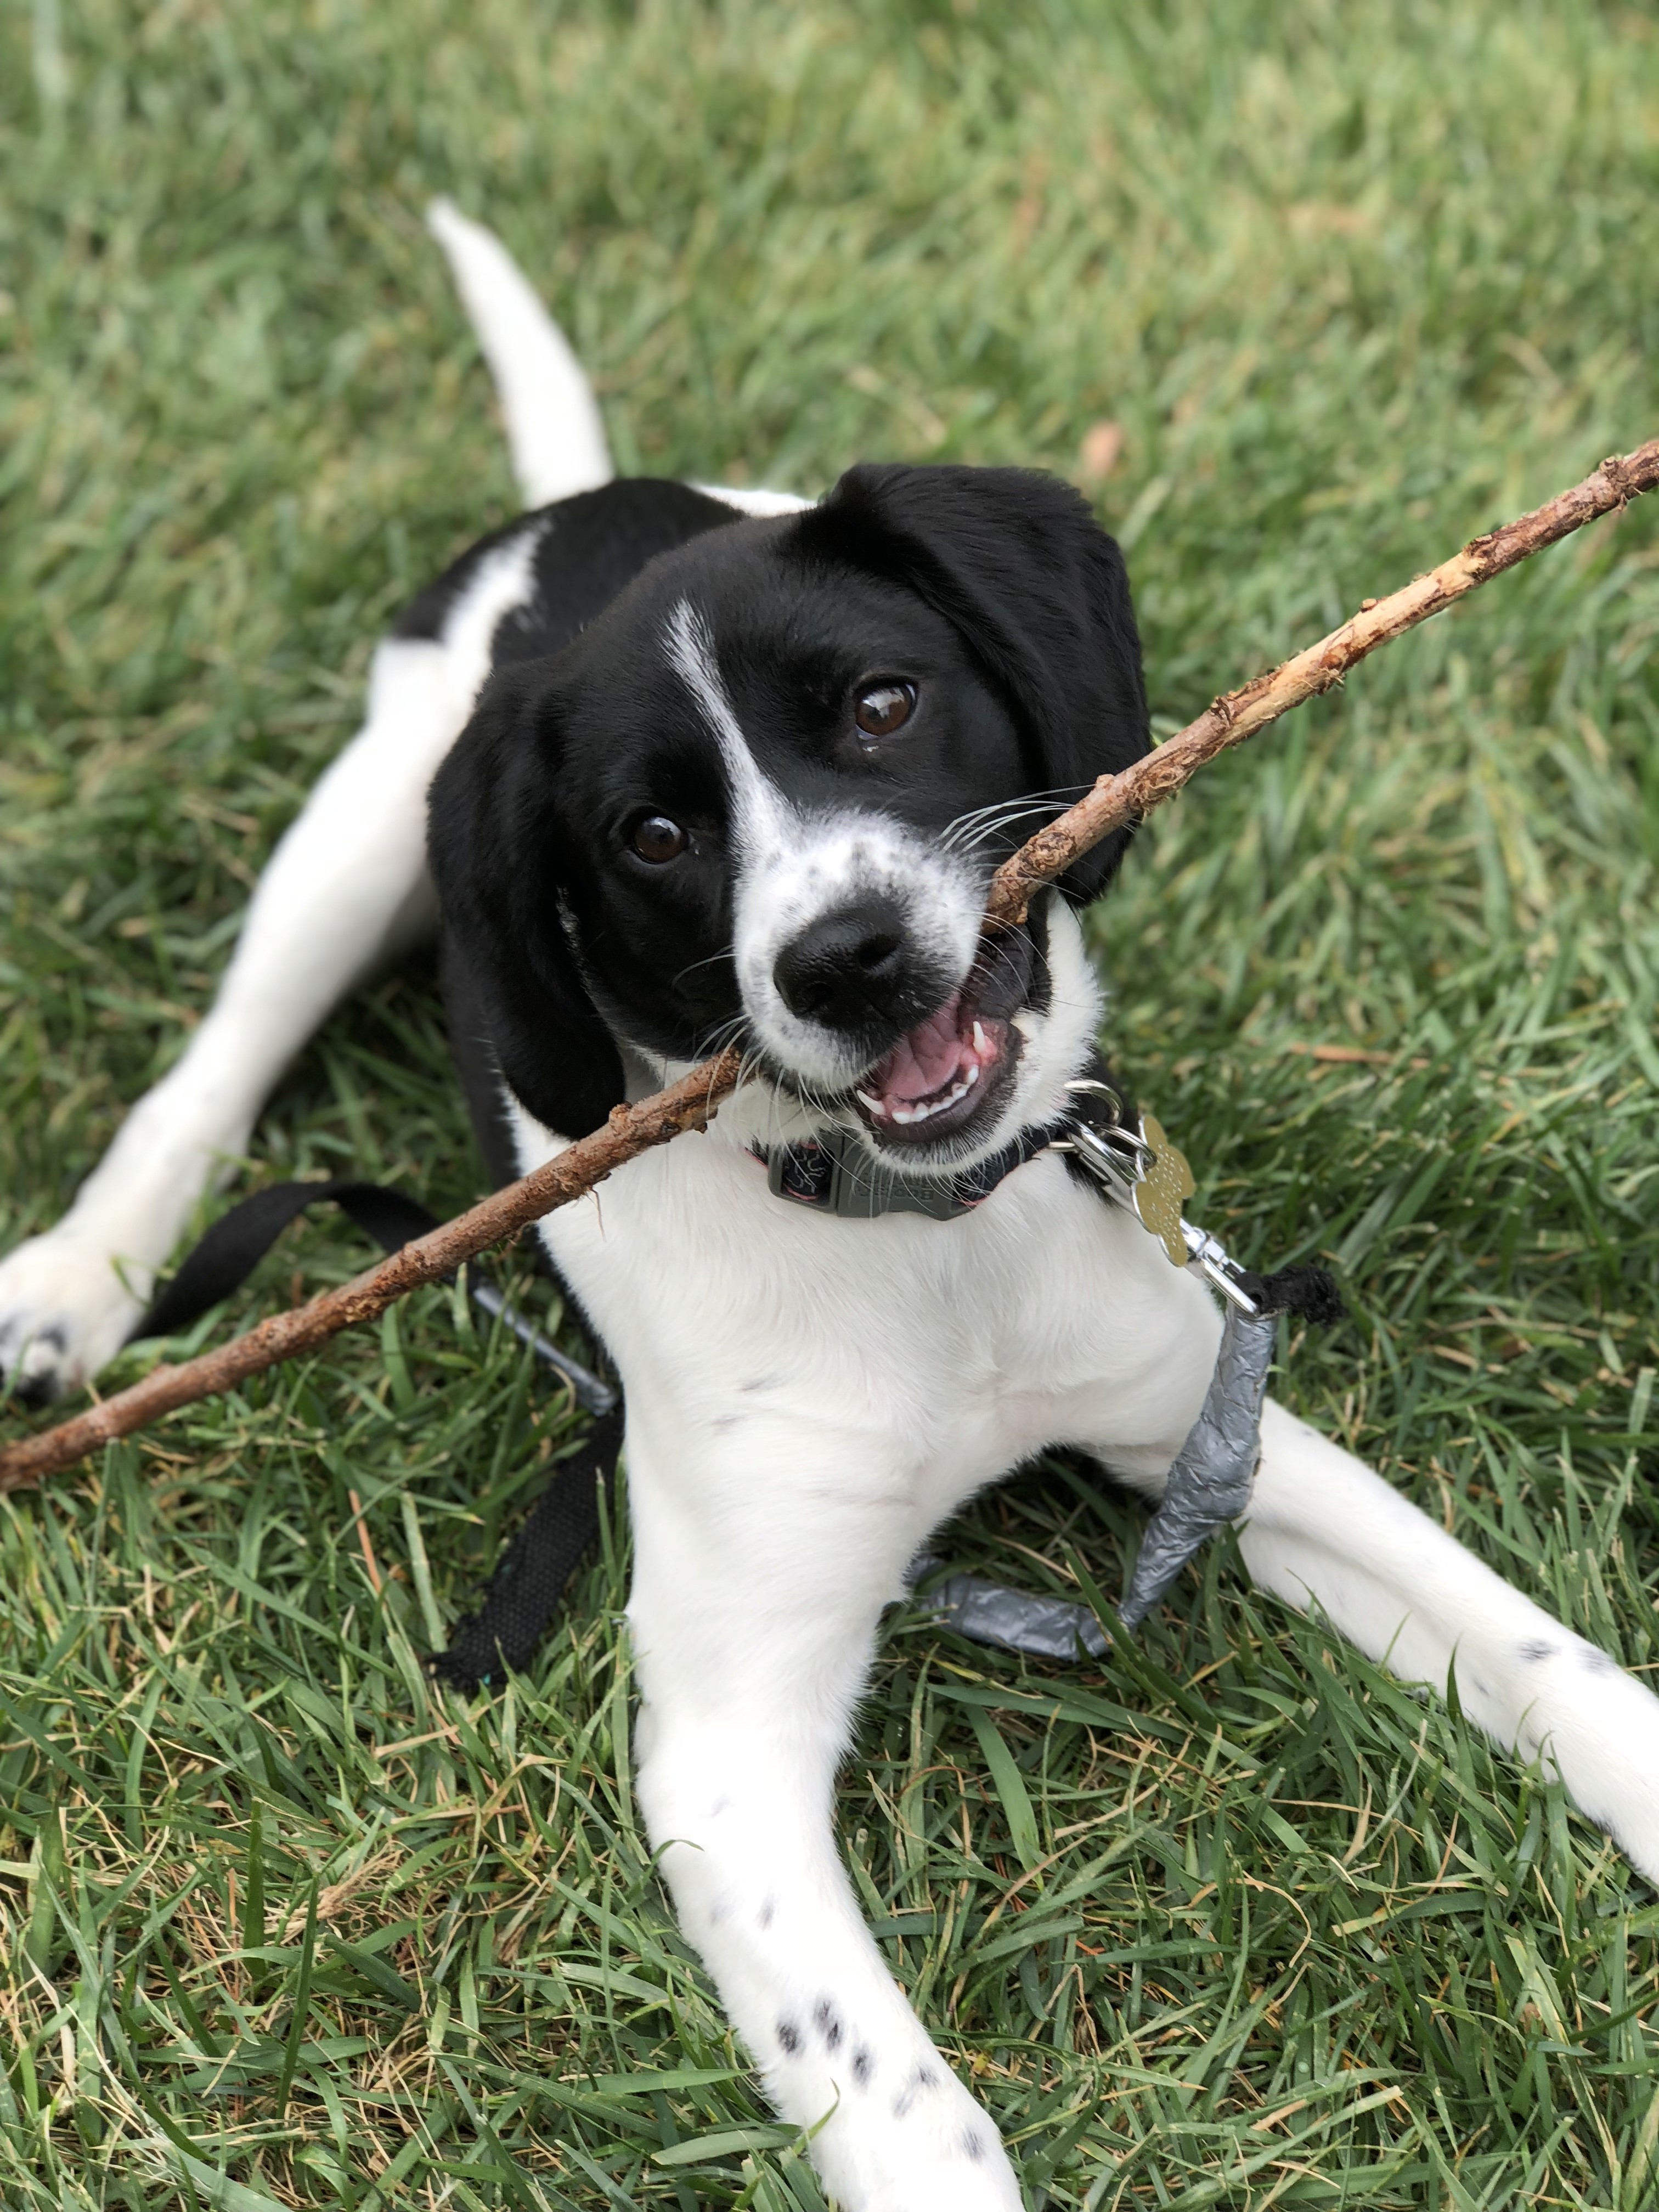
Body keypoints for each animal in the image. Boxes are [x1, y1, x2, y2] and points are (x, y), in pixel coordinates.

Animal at [3, 203, 1657, 2211]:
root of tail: (575, 509)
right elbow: (908, 2109)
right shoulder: (724, 1746)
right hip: (354, 841)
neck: (926, 1255)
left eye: (882, 703)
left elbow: (1548, 1654)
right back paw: (79, 1279)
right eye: (651, 834)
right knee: (209, 1072)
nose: (847, 959)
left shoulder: (1222, 1427)